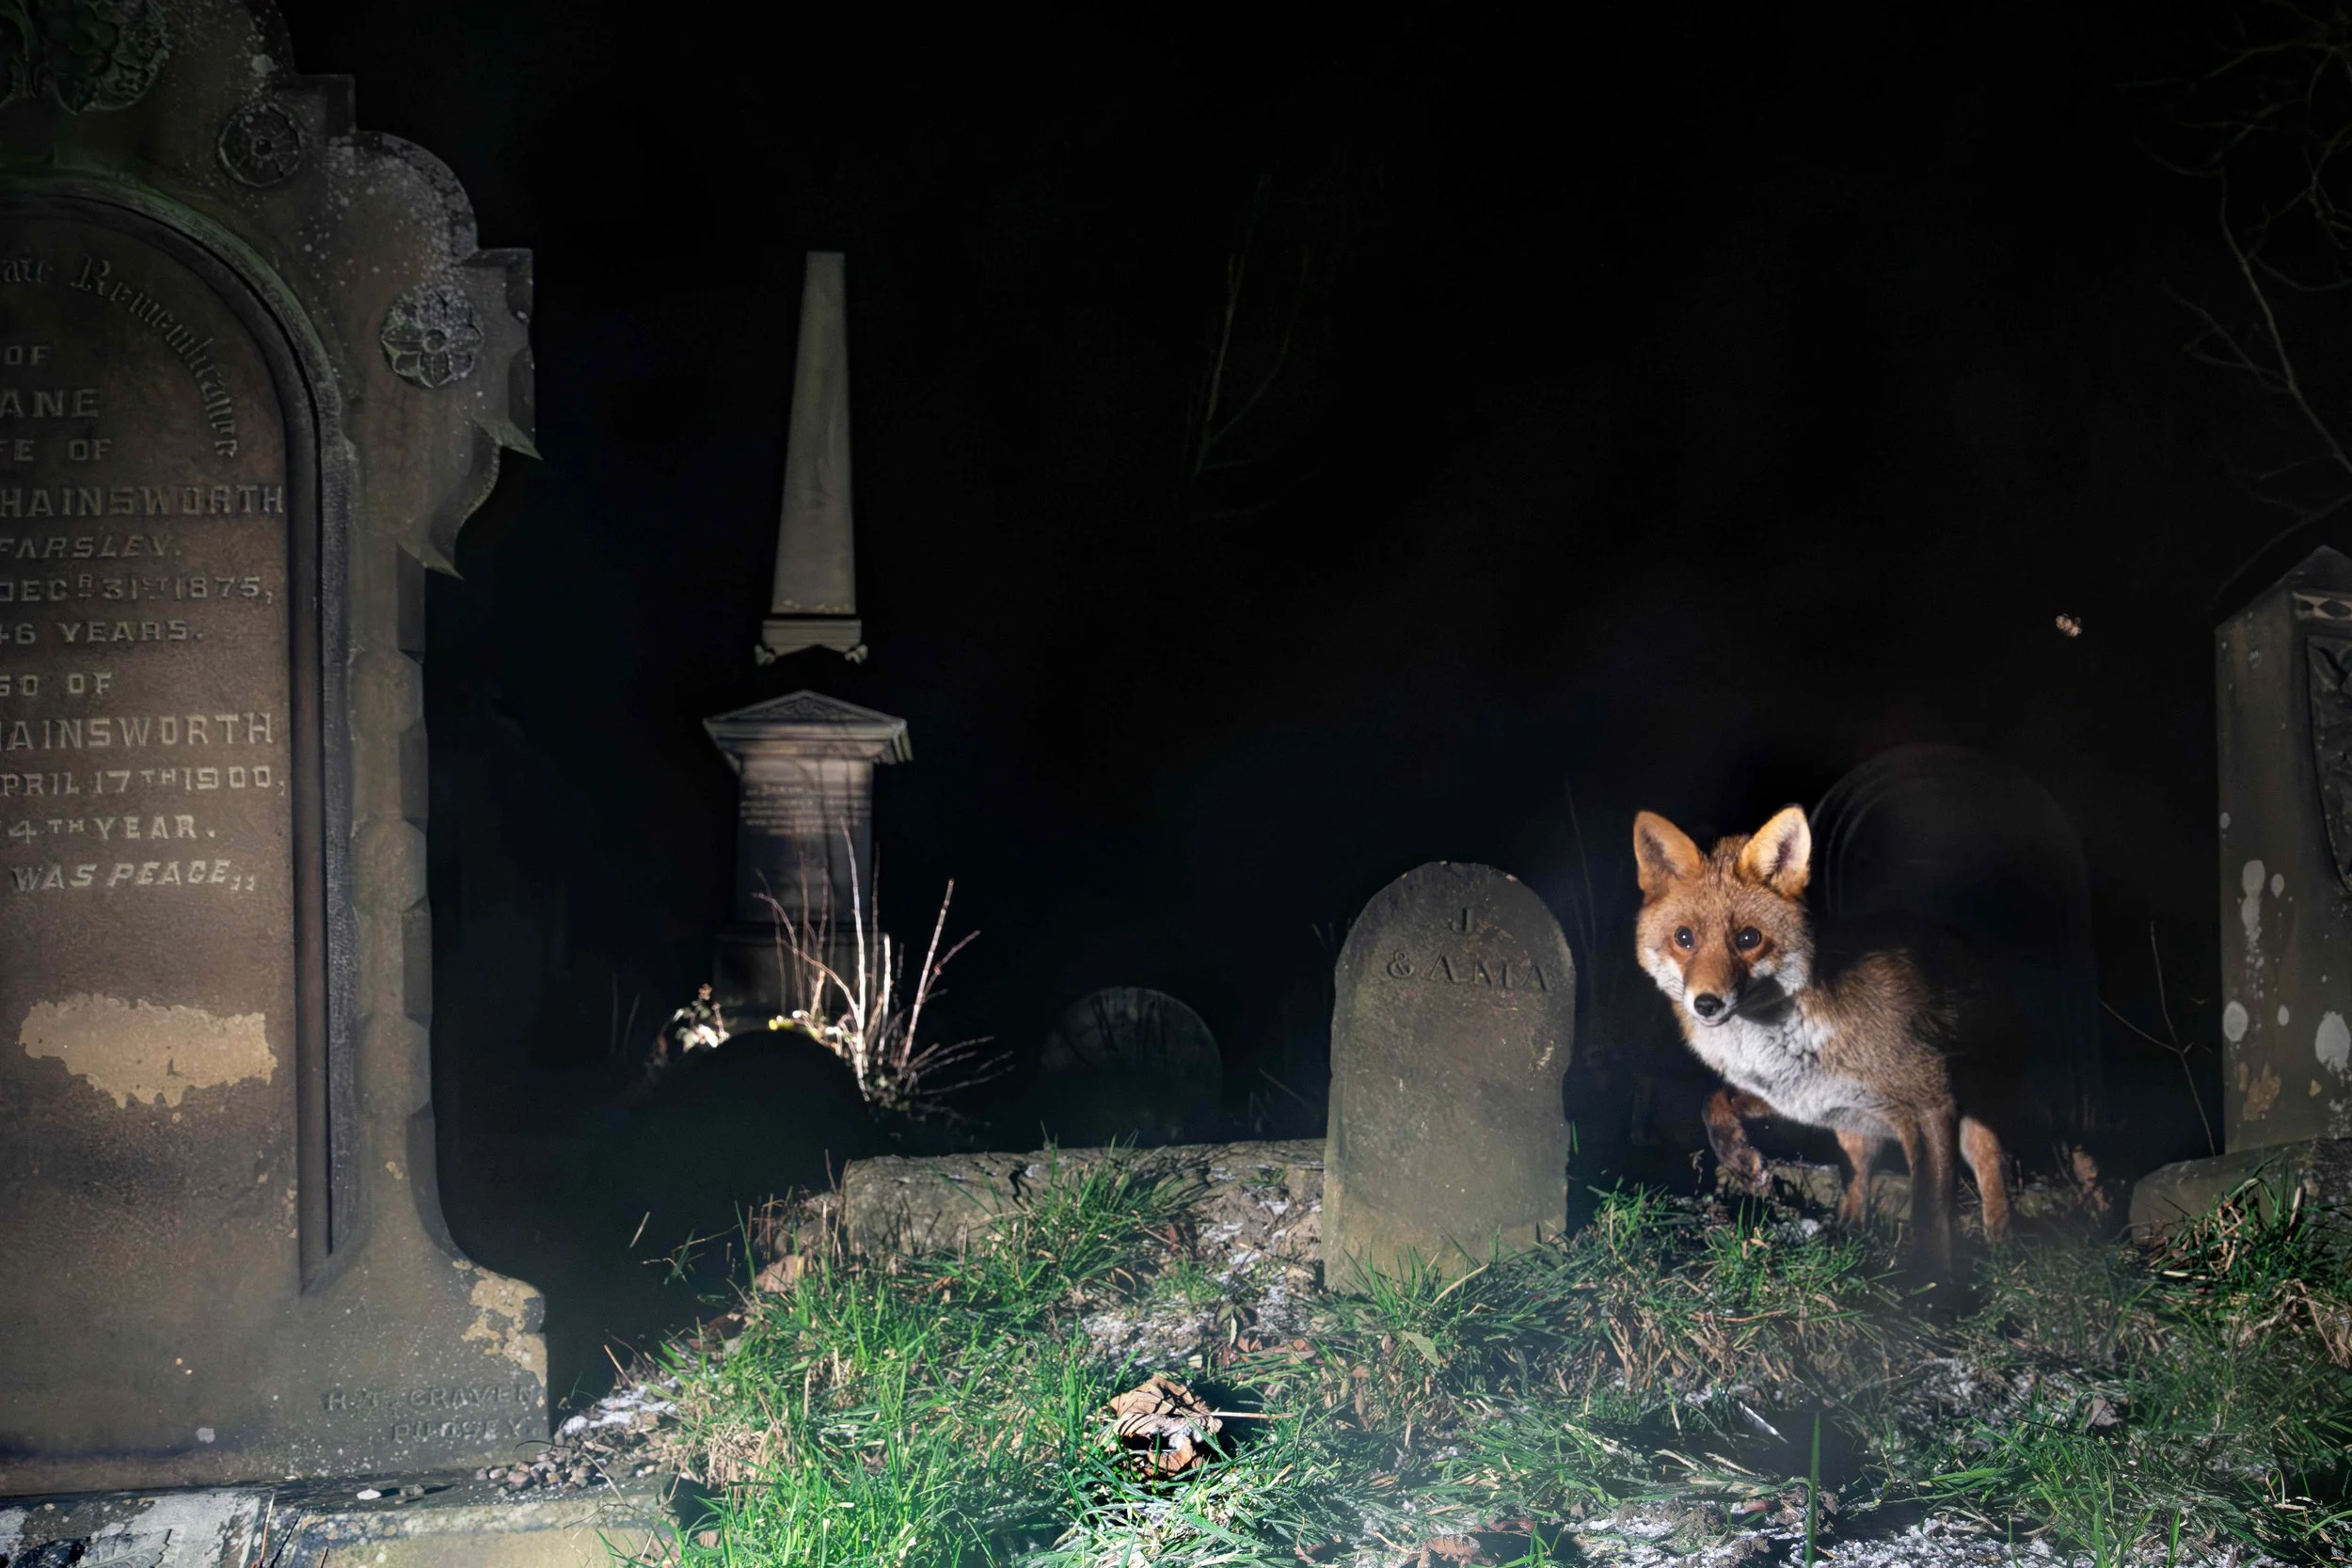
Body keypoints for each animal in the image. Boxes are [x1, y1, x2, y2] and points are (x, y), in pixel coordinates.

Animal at [1631, 804, 2012, 1275]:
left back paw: (2002, 1247)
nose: (1706, 1004)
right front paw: (1741, 1162)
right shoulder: (1797, 1095)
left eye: (1748, 938)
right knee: (1859, 1179)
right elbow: (1713, 1103)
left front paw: (1935, 1284)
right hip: (1854, 1127)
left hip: (1969, 1116)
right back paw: (1847, 1239)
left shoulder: (1930, 1099)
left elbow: (1932, 1212)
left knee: (1991, 1168)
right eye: (1684, 938)